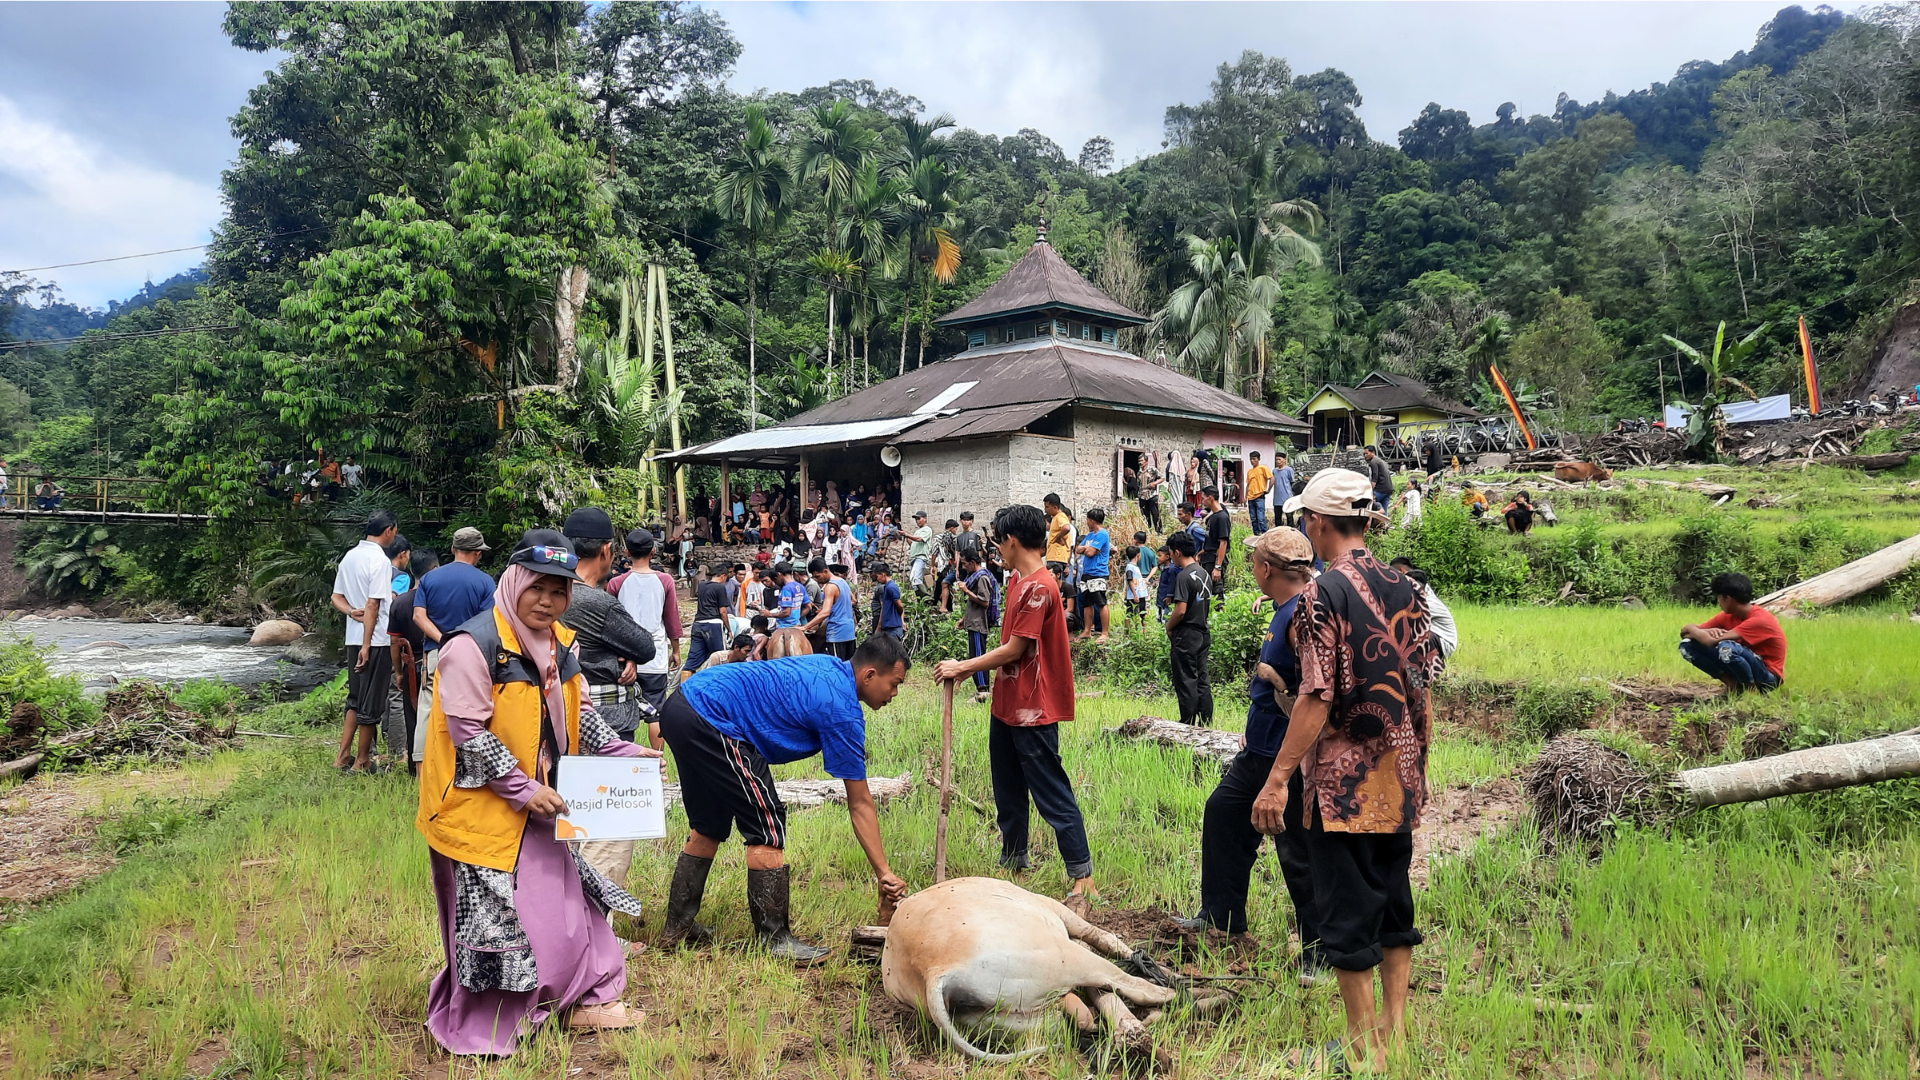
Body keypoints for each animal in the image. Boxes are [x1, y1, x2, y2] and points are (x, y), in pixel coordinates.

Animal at [879, 877, 1183, 1061]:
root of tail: (934, 969)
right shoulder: (1058, 910)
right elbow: (1101, 935)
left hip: (991, 1019)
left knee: (1070, 1020)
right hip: (1062, 955)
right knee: (1121, 982)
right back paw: (1169, 992)